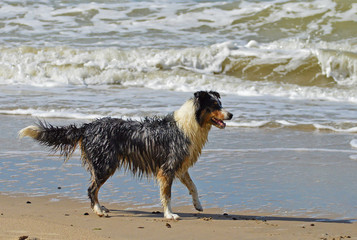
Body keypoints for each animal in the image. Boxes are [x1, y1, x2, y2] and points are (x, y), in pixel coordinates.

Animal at [18, 90, 231, 219]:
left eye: (220, 104)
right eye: (214, 106)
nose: (231, 115)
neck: (190, 124)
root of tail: (87, 127)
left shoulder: (179, 165)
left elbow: (193, 186)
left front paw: (198, 205)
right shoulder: (167, 168)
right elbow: (167, 195)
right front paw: (170, 215)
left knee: (93, 189)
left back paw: (100, 207)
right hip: (106, 164)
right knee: (91, 189)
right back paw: (99, 211)